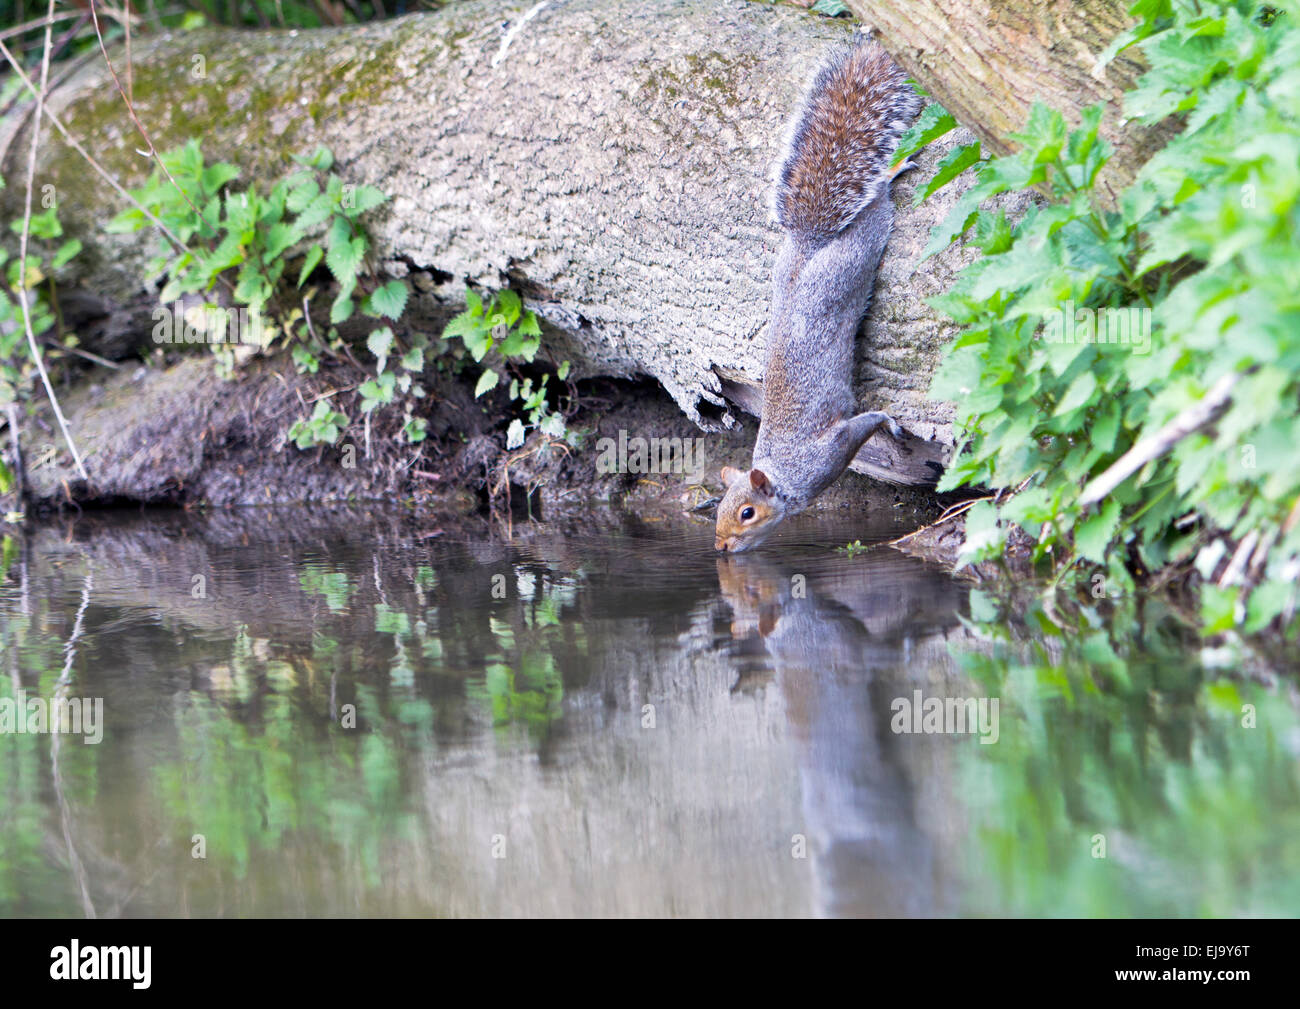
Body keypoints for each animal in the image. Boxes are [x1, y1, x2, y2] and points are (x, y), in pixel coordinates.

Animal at [712, 41, 925, 551]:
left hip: (855, 257)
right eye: (719, 509)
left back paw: (890, 174)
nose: (721, 547)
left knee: (875, 206)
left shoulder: (830, 449)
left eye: (747, 512)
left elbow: (864, 424)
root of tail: (810, 243)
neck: (786, 475)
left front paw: (889, 423)